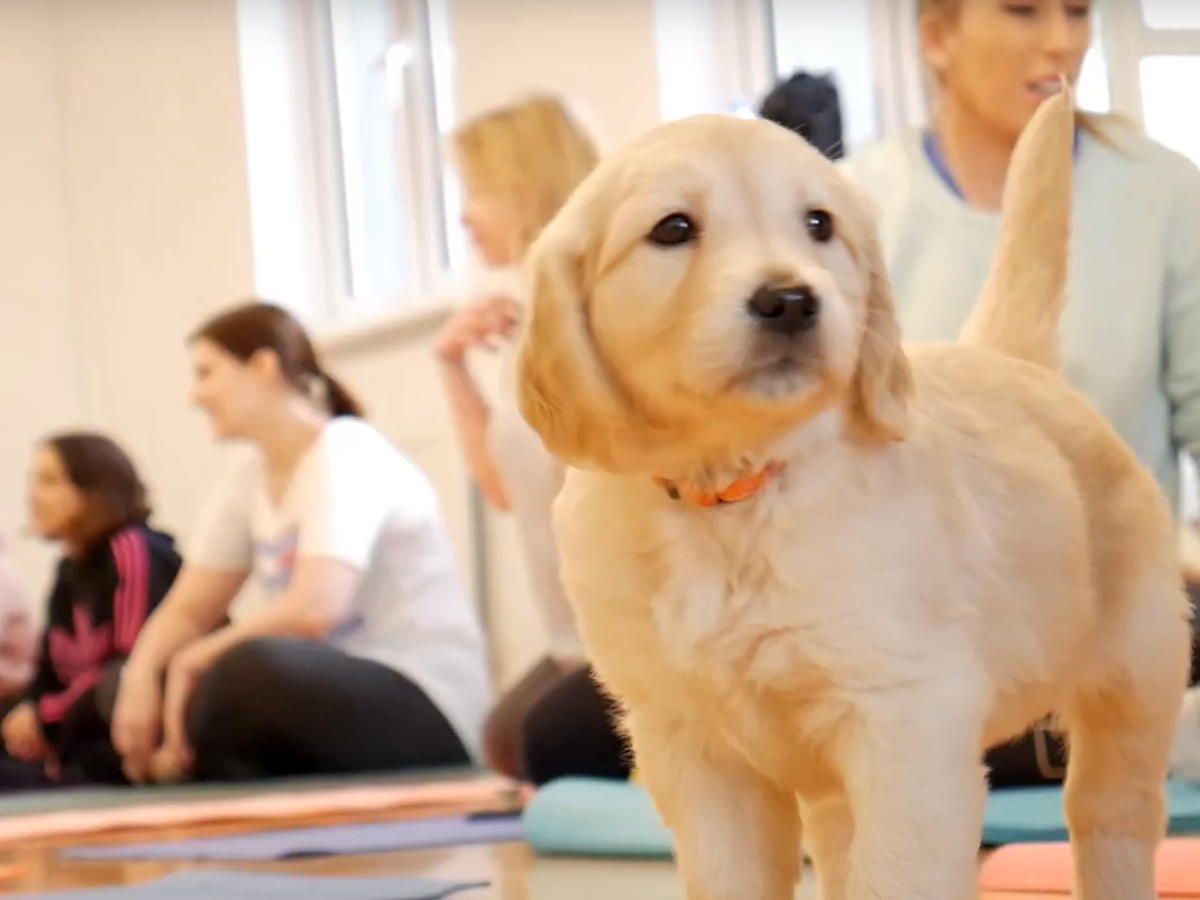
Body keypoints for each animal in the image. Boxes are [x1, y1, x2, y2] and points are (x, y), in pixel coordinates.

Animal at [513, 86, 1190, 900]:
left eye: (818, 225)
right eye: (673, 229)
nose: (789, 300)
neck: (734, 491)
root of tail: (1007, 358)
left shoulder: (907, 719)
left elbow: (898, 871)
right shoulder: (691, 746)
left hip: (1136, 669)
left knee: (1110, 812)